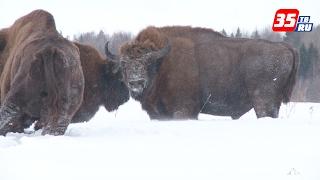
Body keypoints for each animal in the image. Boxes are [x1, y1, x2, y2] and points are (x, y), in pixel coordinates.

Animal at [106, 25, 298, 119]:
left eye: (148, 62)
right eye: (123, 63)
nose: (136, 82)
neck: (162, 63)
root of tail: (284, 47)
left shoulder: (183, 110)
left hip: (264, 103)